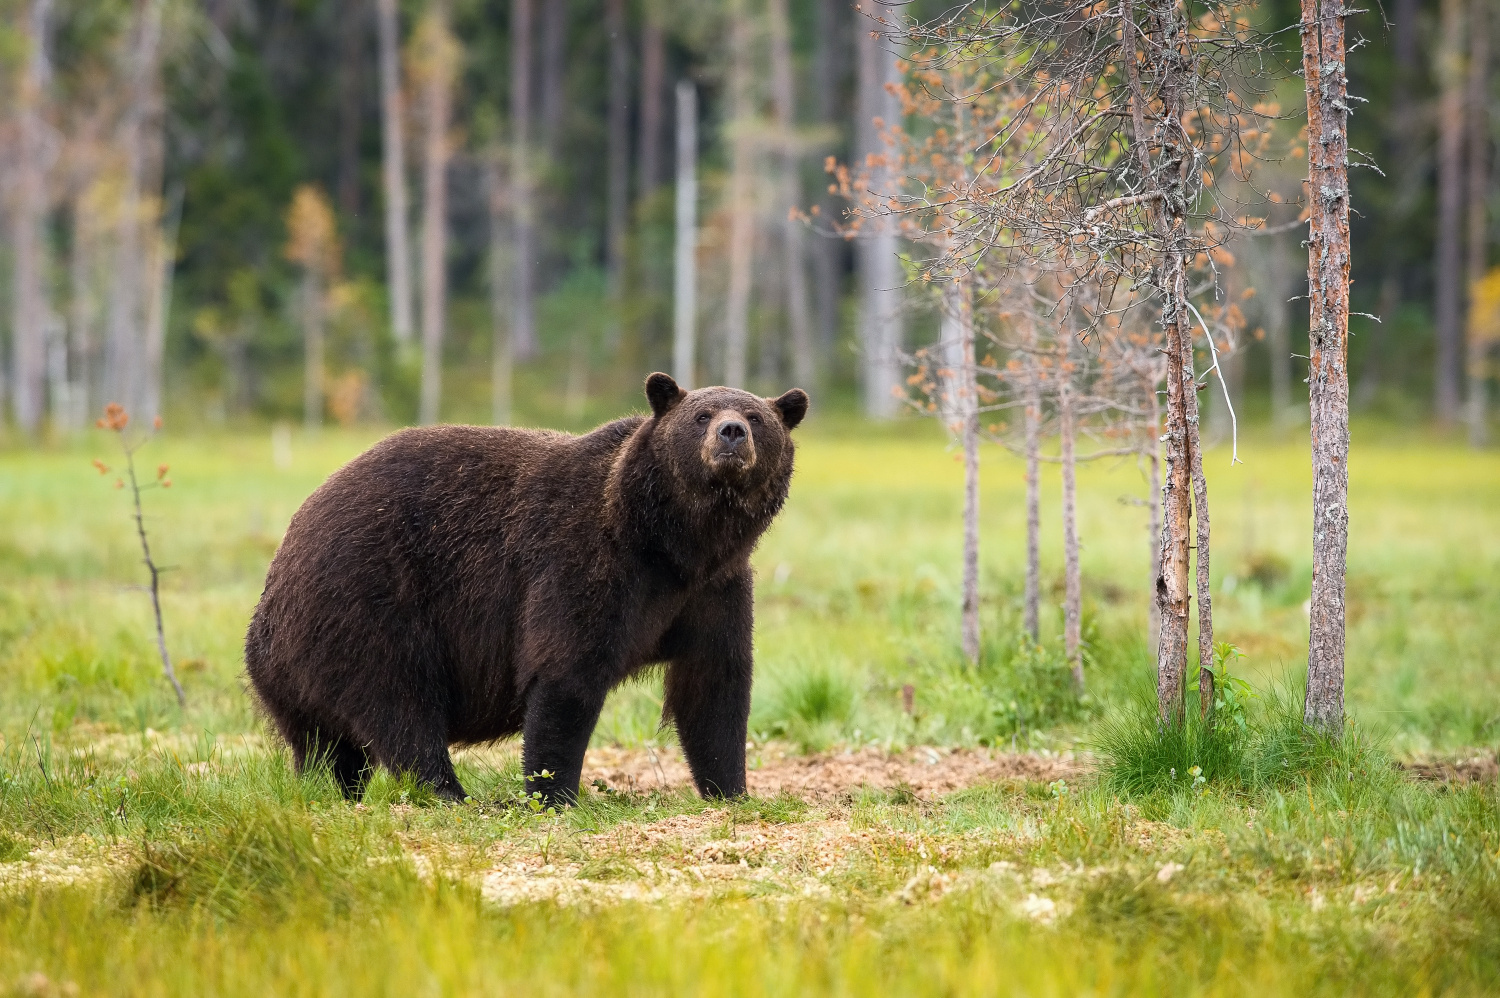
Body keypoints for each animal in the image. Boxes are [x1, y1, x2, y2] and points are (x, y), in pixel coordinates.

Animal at [243, 372, 810, 804]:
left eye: (756, 416)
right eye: (701, 416)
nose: (732, 433)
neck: (670, 543)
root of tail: (283, 556)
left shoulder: (714, 589)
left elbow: (714, 685)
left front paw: (732, 789)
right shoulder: (583, 562)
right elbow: (566, 676)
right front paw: (554, 792)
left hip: (301, 655)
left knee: (326, 744)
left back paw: (330, 790)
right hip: (367, 597)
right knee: (399, 704)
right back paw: (448, 792)